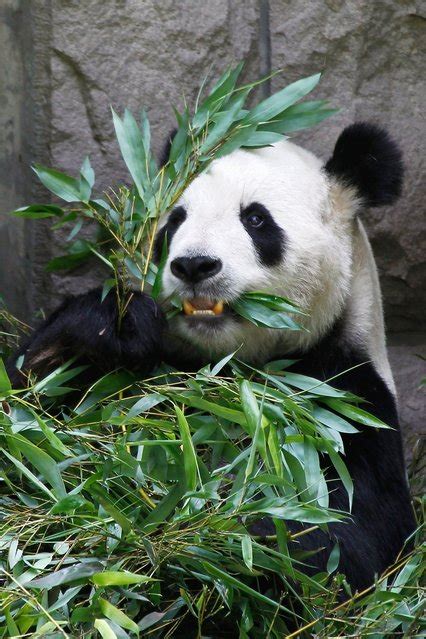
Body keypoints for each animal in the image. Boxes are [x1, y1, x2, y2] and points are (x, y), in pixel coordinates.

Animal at [7, 122, 416, 592]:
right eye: (175, 221)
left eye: (255, 219)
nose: (195, 265)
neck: (224, 367)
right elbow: (30, 431)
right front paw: (109, 326)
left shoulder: (342, 400)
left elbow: (344, 534)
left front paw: (203, 537)